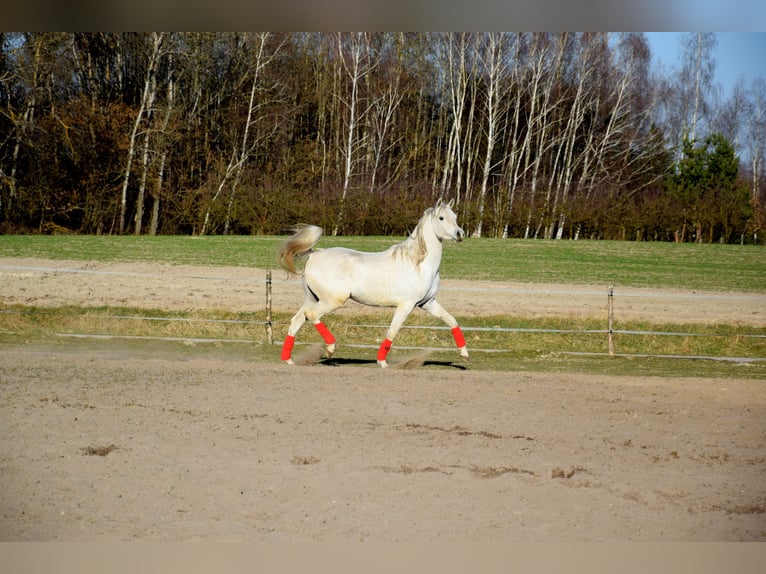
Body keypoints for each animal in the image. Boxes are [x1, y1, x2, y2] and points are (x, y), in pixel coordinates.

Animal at [277, 198, 469, 368]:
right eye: (441, 217)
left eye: (455, 215)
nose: (460, 234)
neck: (418, 264)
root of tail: (314, 254)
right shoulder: (406, 305)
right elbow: (392, 331)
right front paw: (382, 362)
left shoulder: (428, 303)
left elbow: (452, 321)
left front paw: (464, 354)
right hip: (331, 301)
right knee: (311, 315)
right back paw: (330, 349)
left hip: (312, 298)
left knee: (296, 321)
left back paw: (288, 360)